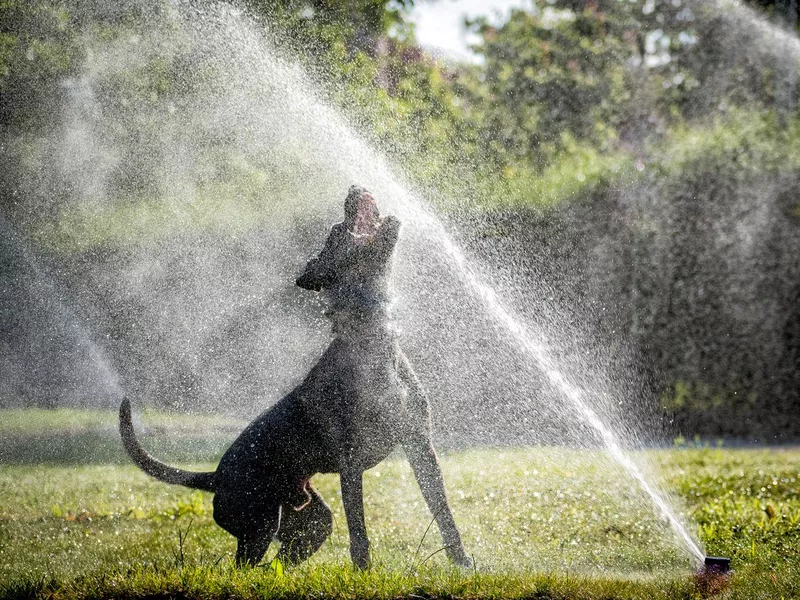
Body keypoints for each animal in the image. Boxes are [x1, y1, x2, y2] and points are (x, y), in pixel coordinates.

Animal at [119, 185, 468, 568]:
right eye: (335, 232)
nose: (353, 188)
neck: (373, 338)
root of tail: (215, 476)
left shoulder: (420, 444)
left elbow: (444, 513)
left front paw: (464, 564)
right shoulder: (351, 461)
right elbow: (359, 532)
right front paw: (364, 573)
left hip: (311, 523)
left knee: (281, 561)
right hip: (258, 524)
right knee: (243, 567)